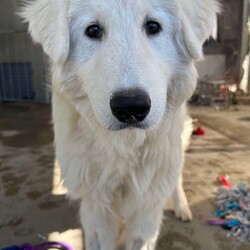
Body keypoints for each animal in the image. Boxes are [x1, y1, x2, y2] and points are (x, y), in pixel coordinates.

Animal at [21, 0, 219, 249]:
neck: (123, 145)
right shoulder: (96, 205)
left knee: (176, 179)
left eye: (153, 26)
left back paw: (182, 208)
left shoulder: (146, 207)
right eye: (93, 30)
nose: (131, 108)